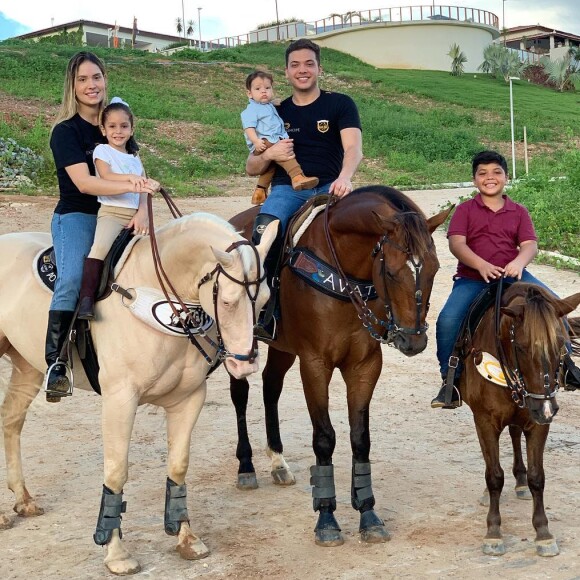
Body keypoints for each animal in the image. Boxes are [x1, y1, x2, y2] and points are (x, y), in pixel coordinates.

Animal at [0, 213, 276, 576]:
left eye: (265, 299)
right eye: (228, 301)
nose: (244, 364)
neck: (153, 294)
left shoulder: (189, 399)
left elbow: (178, 466)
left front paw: (186, 538)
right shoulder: (120, 399)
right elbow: (116, 472)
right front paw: (116, 553)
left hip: (27, 366)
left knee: (11, 420)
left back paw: (23, 500)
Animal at [229, 187, 450, 548]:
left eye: (434, 268)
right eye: (391, 272)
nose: (413, 341)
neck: (347, 281)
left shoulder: (364, 365)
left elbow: (360, 437)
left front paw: (368, 513)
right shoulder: (315, 364)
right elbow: (324, 438)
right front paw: (327, 518)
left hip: (282, 348)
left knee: (271, 387)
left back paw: (277, 460)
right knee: (240, 394)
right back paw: (246, 466)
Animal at [458, 280, 580, 556]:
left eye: (561, 345)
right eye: (522, 347)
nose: (546, 408)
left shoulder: (538, 423)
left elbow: (537, 476)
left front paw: (543, 533)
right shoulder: (485, 421)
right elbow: (494, 476)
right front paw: (493, 532)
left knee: (515, 433)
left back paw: (520, 480)